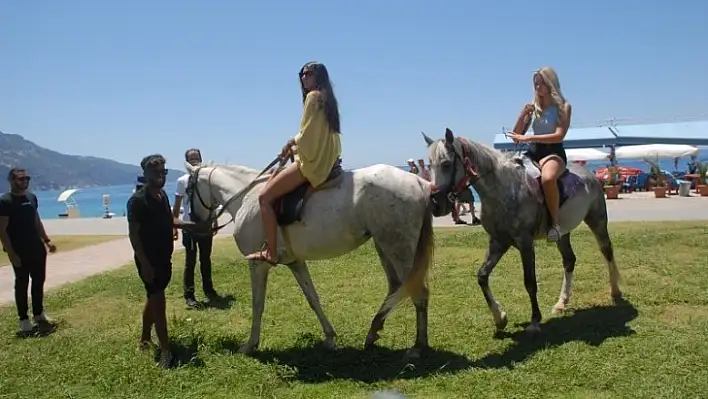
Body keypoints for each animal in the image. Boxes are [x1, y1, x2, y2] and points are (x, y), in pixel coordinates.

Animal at [183, 162, 436, 360]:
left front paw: (250, 345)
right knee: (395, 287)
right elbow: (313, 299)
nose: (193, 226)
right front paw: (330, 338)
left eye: (187, 190)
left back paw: (418, 346)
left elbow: (258, 304)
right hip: (384, 246)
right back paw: (373, 332)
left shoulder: (257, 264)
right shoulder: (295, 263)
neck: (246, 197)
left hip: (398, 248)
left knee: (418, 292)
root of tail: (419, 182)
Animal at [420, 129, 620, 334]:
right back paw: (561, 303)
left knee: (607, 251)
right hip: (563, 234)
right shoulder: (498, 242)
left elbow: (529, 282)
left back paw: (615, 291)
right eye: (429, 165)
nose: (436, 204)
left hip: (597, 221)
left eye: (446, 164)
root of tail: (590, 175)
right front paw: (500, 318)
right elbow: (482, 276)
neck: (503, 190)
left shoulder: (525, 243)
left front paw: (534, 321)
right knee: (569, 260)